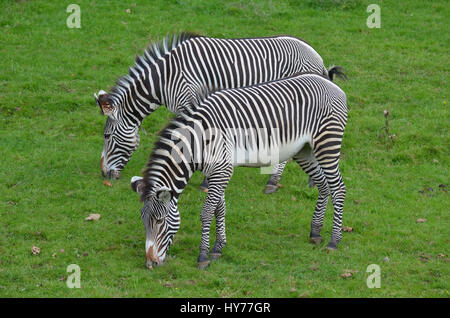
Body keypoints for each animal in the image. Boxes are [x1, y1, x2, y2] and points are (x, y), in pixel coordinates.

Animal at [96, 32, 348, 193]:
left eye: (107, 136)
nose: (104, 175)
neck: (165, 79)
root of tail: (317, 56)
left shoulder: (189, 102)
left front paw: (204, 182)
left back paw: (274, 181)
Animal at [130, 73, 348, 270]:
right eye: (143, 221)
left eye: (159, 221)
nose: (150, 264)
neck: (198, 141)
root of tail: (332, 85)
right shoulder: (217, 172)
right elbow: (220, 208)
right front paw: (218, 247)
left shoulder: (222, 170)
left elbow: (207, 212)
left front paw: (203, 256)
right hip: (304, 150)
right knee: (323, 186)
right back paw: (315, 232)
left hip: (326, 143)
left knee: (338, 189)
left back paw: (334, 241)